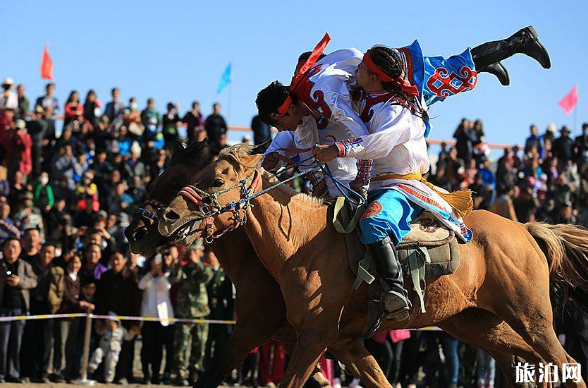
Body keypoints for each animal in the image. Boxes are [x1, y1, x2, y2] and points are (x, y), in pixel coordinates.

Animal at [157, 146, 588, 388]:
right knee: (526, 364)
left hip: (531, 318)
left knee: (565, 363)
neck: (302, 245)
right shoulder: (344, 343)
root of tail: (525, 229)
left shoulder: (311, 337)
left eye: (215, 180)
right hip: (477, 323)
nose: (166, 216)